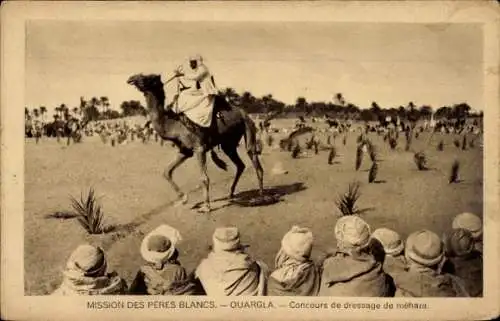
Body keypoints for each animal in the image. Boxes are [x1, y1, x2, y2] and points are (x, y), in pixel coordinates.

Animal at [127, 73, 264, 211]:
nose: (131, 79)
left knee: (254, 159)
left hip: (247, 128)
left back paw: (260, 195)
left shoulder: (199, 148)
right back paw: (231, 193)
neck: (174, 126)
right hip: (228, 144)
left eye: (148, 78)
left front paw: (206, 206)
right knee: (240, 165)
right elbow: (167, 172)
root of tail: (244, 113)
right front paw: (183, 198)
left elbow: (204, 178)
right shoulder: (185, 151)